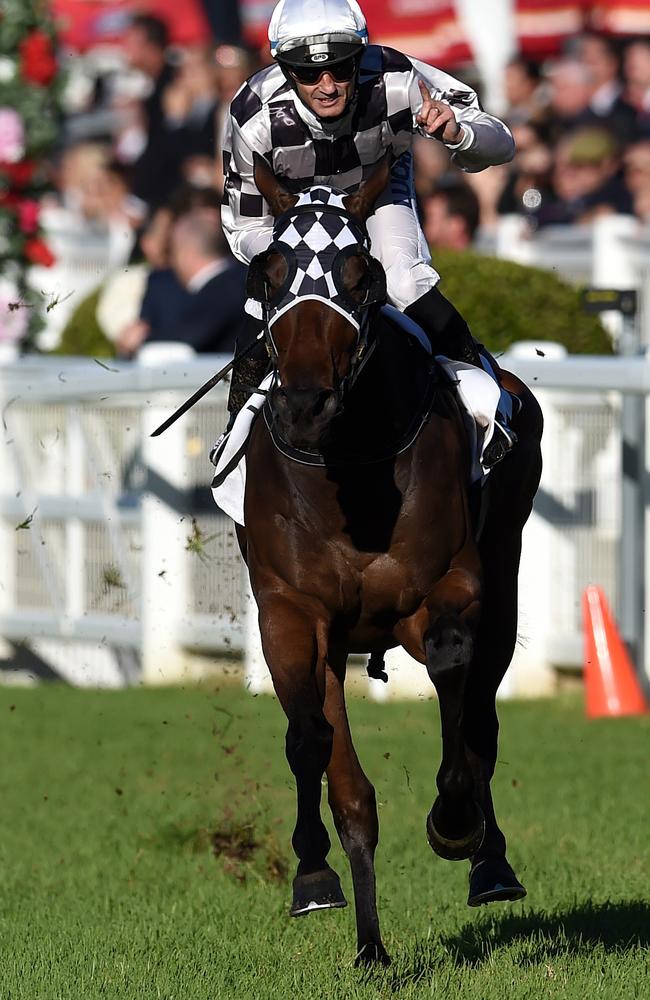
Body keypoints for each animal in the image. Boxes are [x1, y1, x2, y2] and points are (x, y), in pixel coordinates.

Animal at [233, 152, 540, 964]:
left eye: (358, 273)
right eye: (270, 272)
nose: (304, 401)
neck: (351, 476)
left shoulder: (450, 587)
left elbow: (453, 670)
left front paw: (455, 822)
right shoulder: (292, 611)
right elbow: (316, 746)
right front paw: (314, 878)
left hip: (503, 579)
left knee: (481, 715)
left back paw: (489, 862)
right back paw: (370, 945)